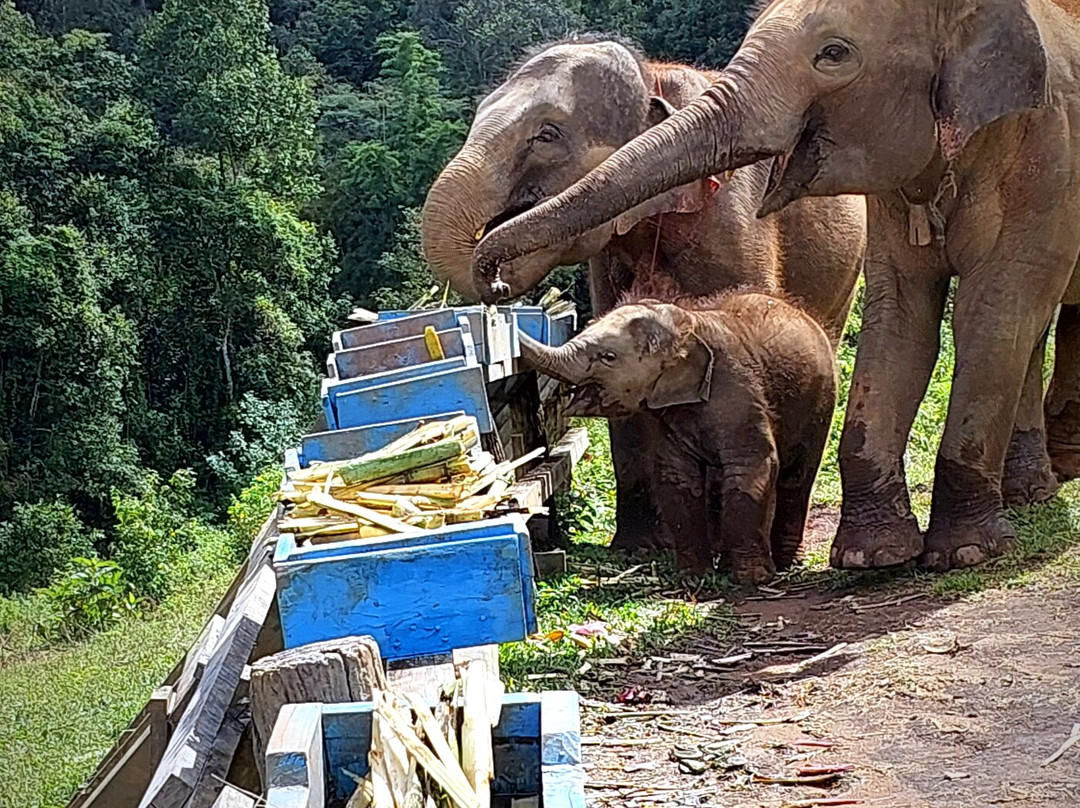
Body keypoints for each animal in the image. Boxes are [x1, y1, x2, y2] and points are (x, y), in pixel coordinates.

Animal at [518, 291, 837, 583]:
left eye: (609, 357)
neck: (689, 323)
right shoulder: (671, 412)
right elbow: (676, 477)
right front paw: (693, 578)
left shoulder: (738, 390)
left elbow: (751, 468)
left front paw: (752, 580)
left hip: (821, 403)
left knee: (796, 478)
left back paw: (786, 564)